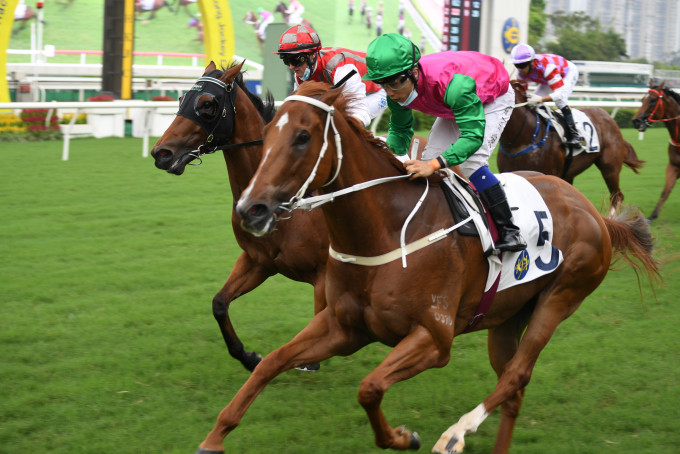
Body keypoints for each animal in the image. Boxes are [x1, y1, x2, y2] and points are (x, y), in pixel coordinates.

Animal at [632, 82, 680, 223]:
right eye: (643, 99)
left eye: (653, 100)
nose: (636, 121)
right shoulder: (673, 166)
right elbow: (665, 191)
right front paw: (652, 215)